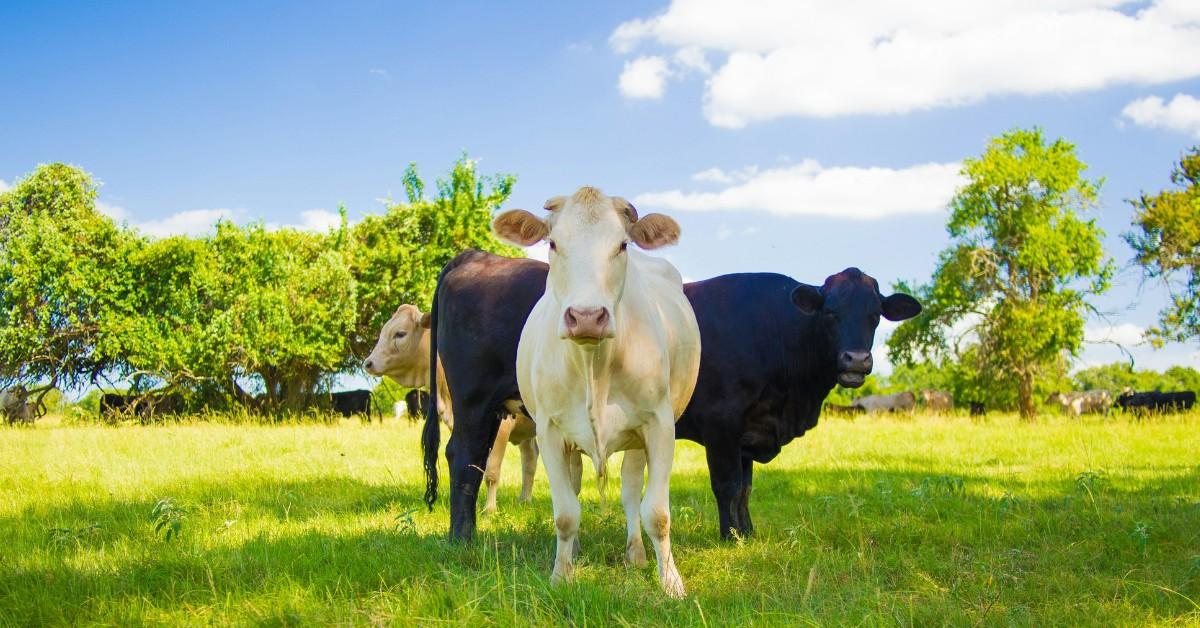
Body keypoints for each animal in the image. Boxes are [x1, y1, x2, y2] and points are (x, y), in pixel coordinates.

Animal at [364, 304, 538, 513]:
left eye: (400, 333)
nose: (368, 362)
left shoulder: (501, 427)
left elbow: (491, 472)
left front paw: (489, 510)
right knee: (530, 459)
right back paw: (524, 500)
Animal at [493, 187, 701, 597]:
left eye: (621, 245)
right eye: (553, 243)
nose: (587, 317)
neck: (593, 365)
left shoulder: (660, 425)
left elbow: (657, 512)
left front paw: (670, 581)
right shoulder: (549, 430)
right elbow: (565, 513)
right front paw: (561, 575)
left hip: (637, 438)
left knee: (631, 490)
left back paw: (636, 553)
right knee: (575, 487)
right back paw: (574, 552)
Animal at [676, 269, 920, 539]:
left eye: (875, 315)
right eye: (830, 312)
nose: (856, 359)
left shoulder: (748, 432)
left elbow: (744, 489)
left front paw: (748, 534)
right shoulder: (721, 422)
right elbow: (728, 485)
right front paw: (730, 536)